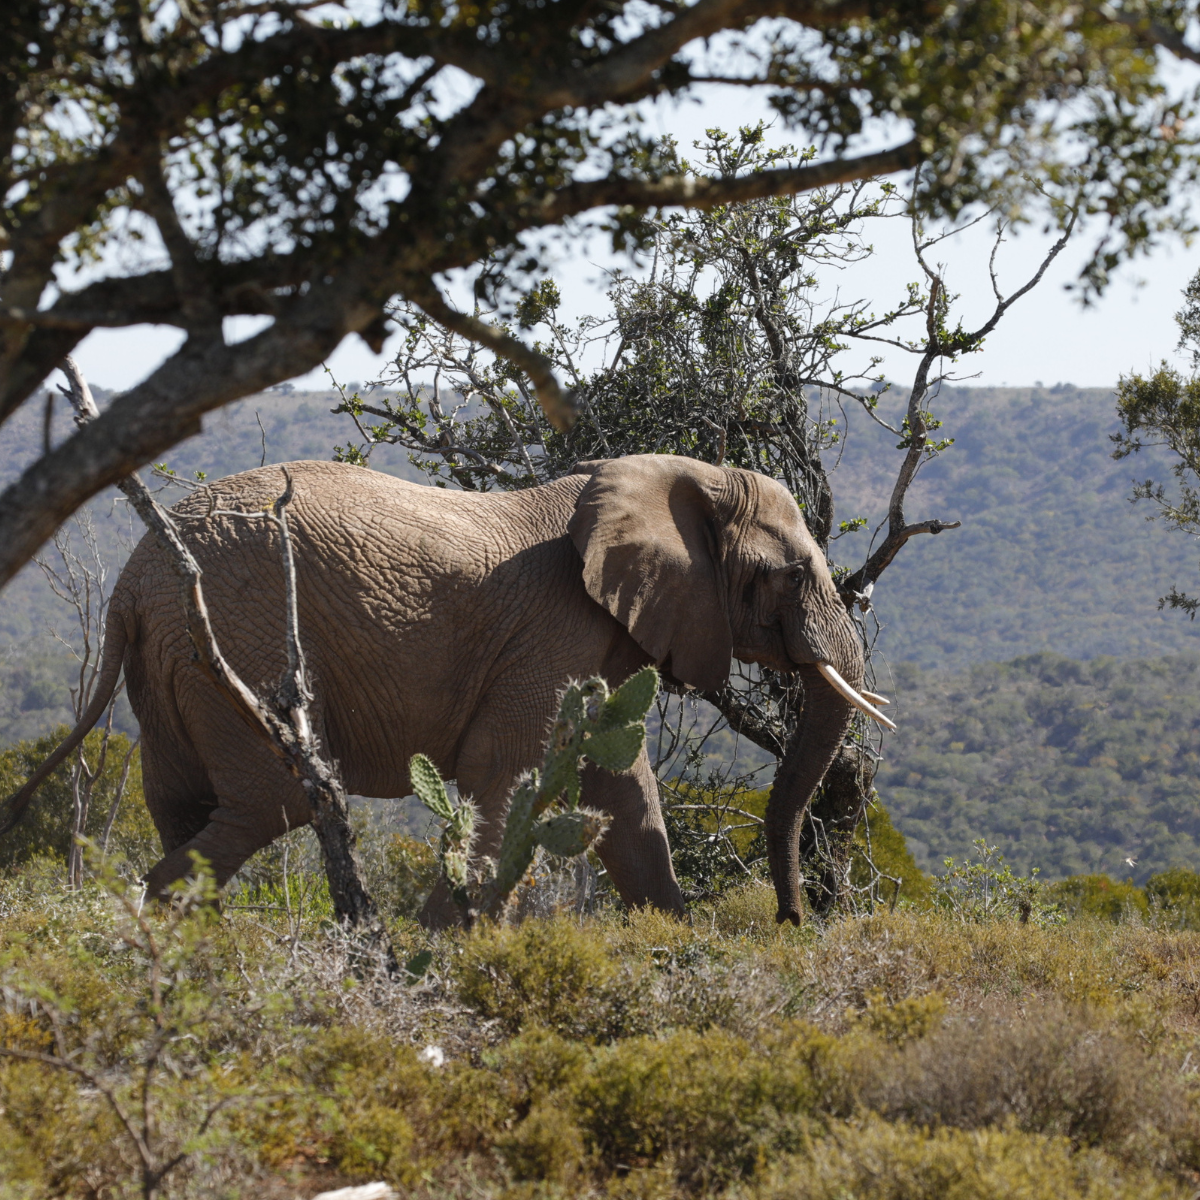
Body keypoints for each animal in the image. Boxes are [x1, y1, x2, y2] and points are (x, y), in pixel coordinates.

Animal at [3, 453, 890, 925]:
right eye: (793, 573)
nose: (791, 921)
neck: (673, 476)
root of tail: (129, 588)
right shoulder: (552, 629)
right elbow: (510, 772)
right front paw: (442, 943)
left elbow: (622, 792)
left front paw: (678, 934)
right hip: (229, 641)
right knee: (267, 804)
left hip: (171, 665)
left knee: (185, 805)